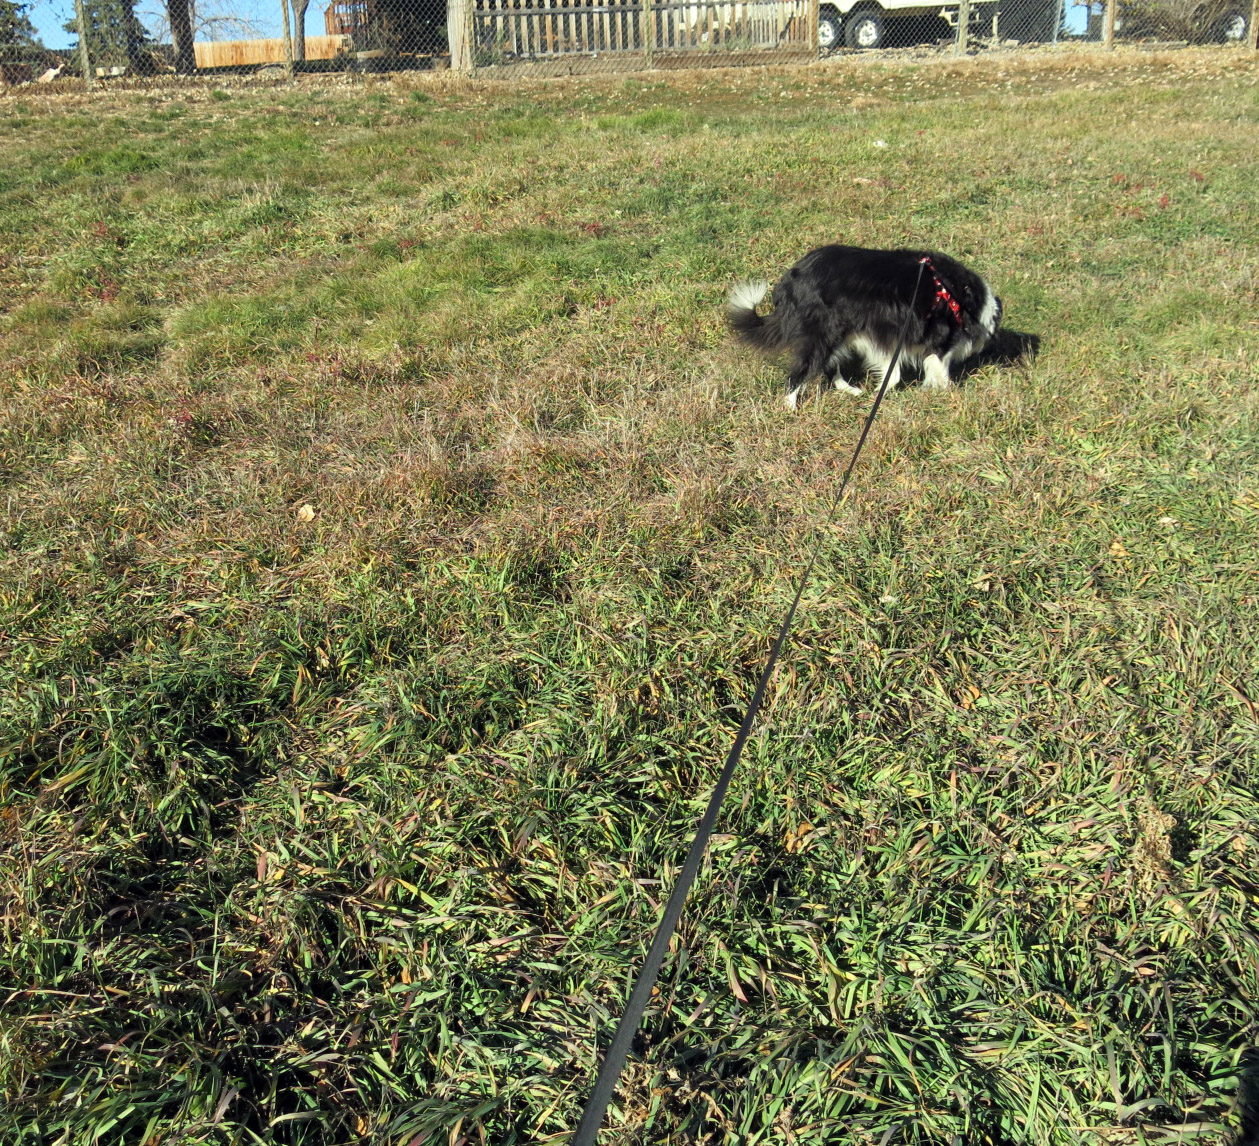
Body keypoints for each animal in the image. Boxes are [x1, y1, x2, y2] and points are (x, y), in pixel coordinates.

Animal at [728, 244, 1003, 409]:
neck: (964, 298)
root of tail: (790, 279)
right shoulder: (938, 340)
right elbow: (939, 370)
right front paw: (948, 394)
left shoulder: (886, 334)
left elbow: (893, 373)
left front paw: (878, 393)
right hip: (824, 332)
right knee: (800, 372)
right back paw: (790, 406)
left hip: (839, 332)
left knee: (828, 365)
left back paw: (850, 390)